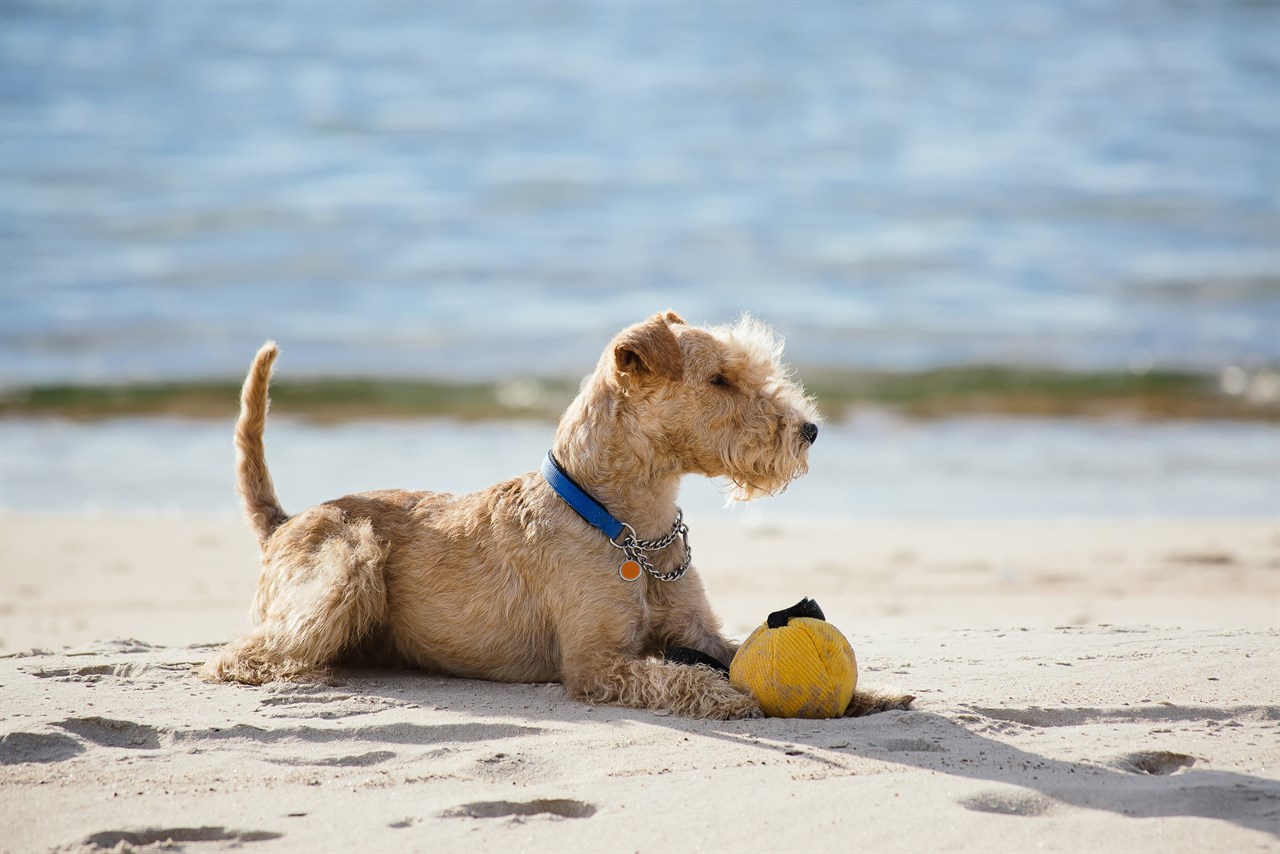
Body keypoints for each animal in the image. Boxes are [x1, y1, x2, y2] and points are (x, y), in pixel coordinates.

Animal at [199, 311, 911, 717]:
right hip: (351, 562)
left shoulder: (699, 633)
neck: (630, 527)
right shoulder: (594, 663)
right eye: (719, 379)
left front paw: (871, 694)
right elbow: (680, 680)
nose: (809, 430)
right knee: (240, 654)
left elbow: (733, 653)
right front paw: (732, 698)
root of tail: (282, 523)